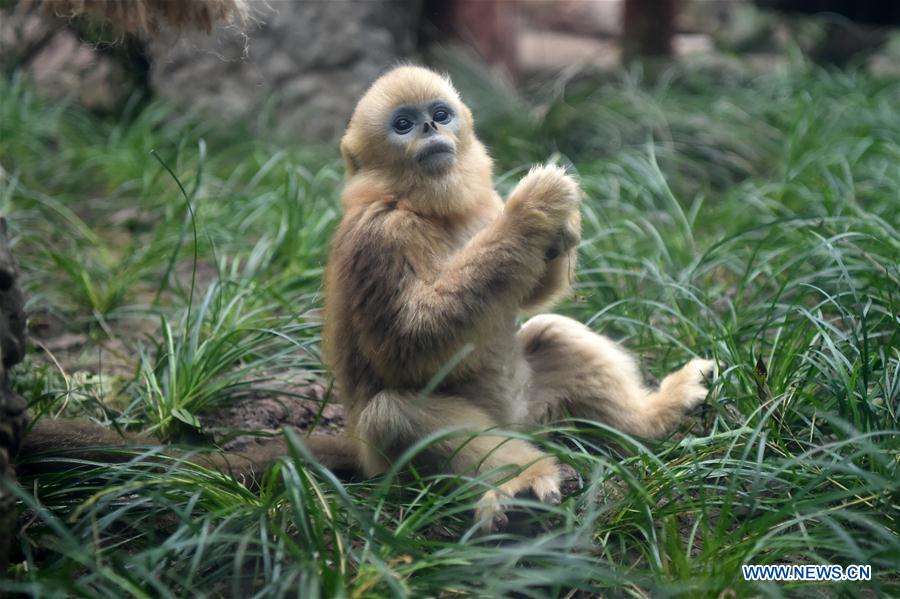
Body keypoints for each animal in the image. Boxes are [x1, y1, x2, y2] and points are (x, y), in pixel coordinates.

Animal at [323, 65, 716, 532]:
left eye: (440, 114)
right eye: (403, 125)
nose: (429, 128)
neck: (428, 211)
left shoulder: (483, 208)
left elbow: (531, 298)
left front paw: (563, 229)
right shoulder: (380, 236)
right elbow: (405, 343)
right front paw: (533, 210)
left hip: (532, 408)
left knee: (554, 331)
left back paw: (655, 417)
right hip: (392, 464)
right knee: (394, 413)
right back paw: (522, 485)